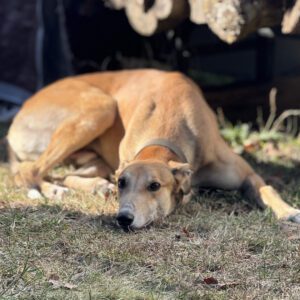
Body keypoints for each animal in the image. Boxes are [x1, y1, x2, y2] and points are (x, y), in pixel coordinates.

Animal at [7, 69, 300, 230]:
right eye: (123, 183)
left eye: (154, 186)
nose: (124, 218)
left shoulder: (245, 174)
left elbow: (266, 188)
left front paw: (288, 211)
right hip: (99, 108)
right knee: (28, 171)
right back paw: (51, 190)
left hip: (94, 142)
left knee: (62, 173)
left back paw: (92, 186)